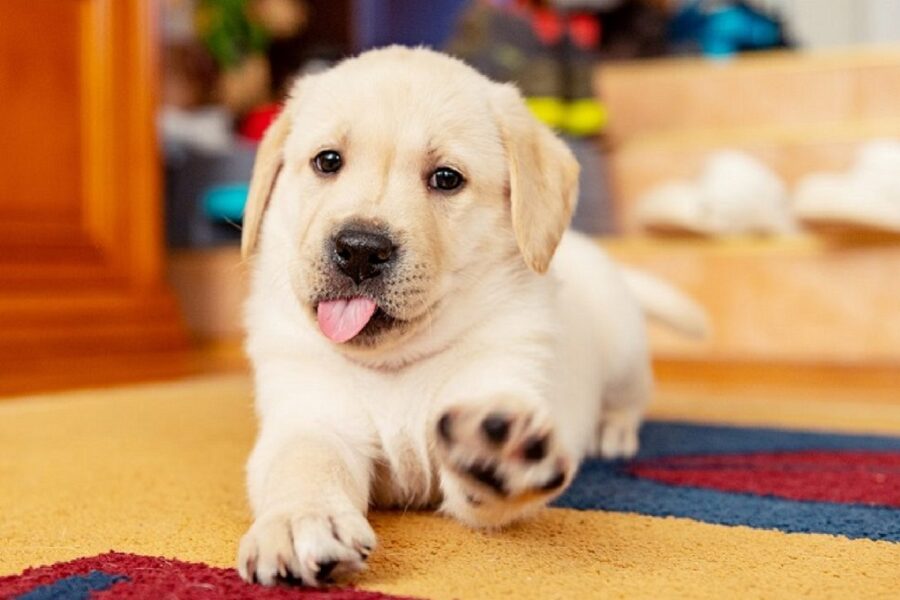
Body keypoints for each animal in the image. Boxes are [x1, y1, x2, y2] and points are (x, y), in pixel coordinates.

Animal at [236, 45, 708, 584]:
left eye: (446, 179)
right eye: (327, 161)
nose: (359, 249)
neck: (395, 366)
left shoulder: (503, 377)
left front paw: (497, 455)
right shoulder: (309, 415)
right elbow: (303, 464)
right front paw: (300, 521)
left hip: (626, 355)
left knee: (631, 399)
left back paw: (611, 432)